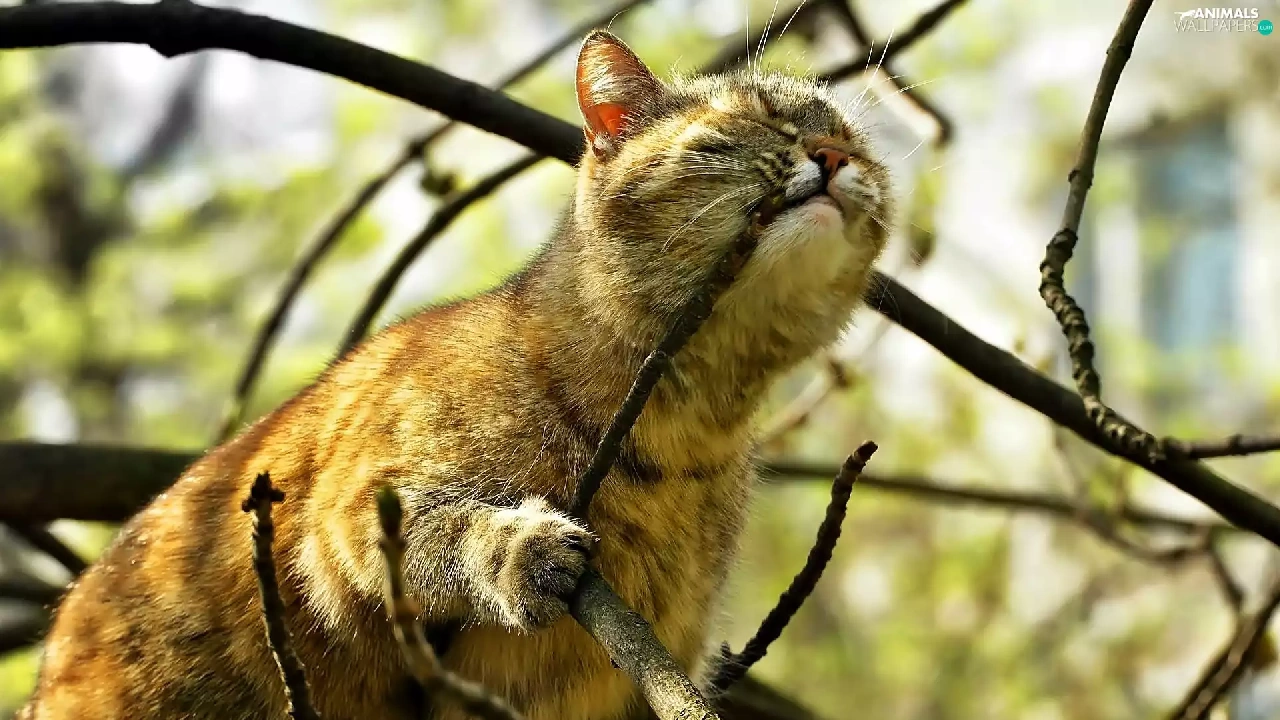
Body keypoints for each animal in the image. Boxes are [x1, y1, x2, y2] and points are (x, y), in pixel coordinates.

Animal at [22, 30, 891, 720]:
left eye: (858, 144)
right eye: (755, 120)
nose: (834, 157)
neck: (688, 422)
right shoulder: (344, 517)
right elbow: (446, 533)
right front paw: (519, 550)